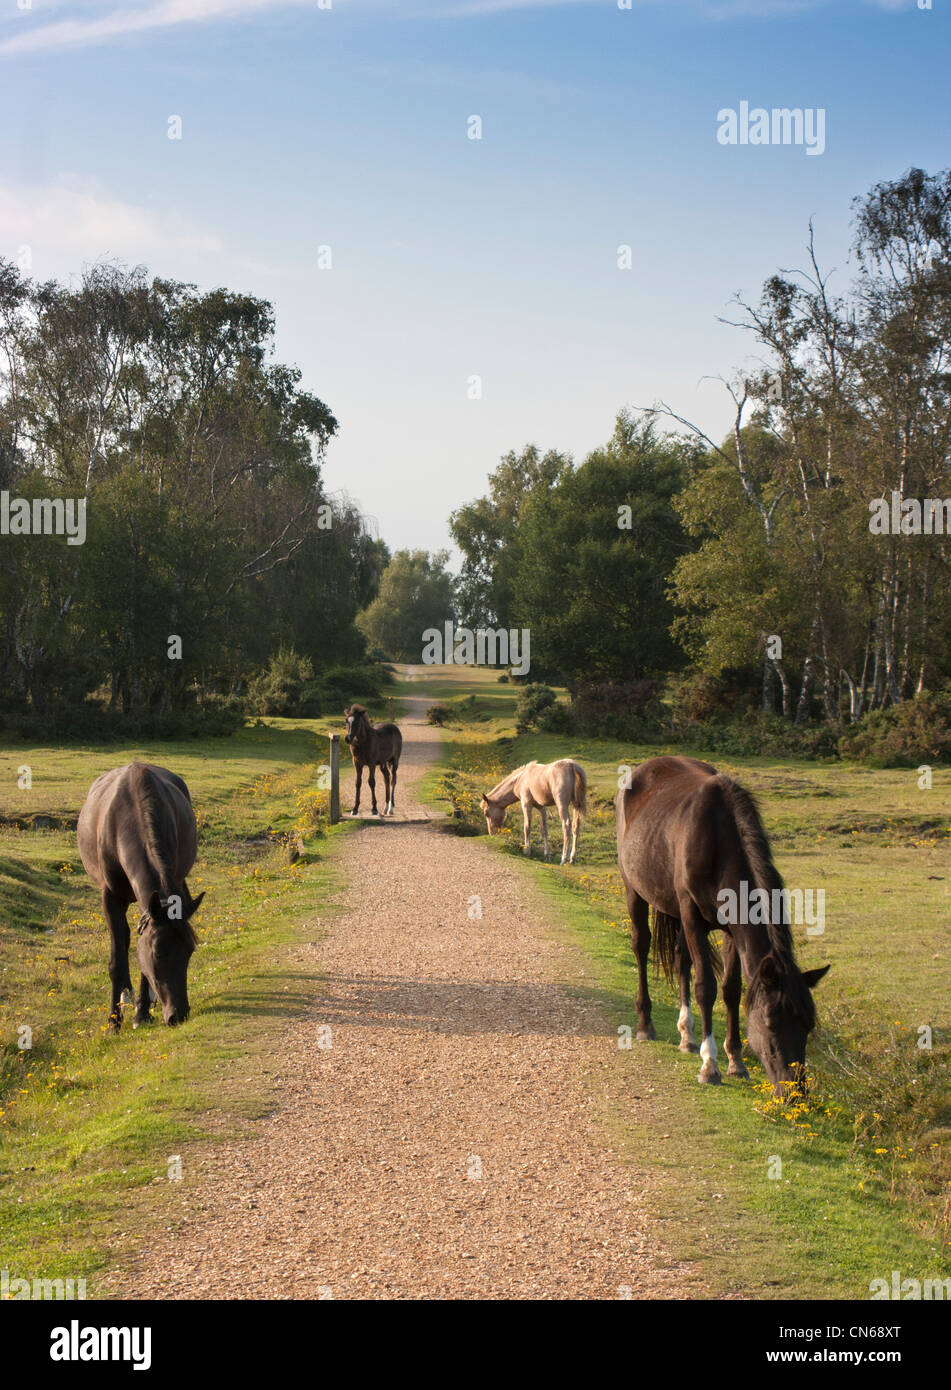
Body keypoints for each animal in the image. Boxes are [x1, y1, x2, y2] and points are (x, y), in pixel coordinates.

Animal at [77, 761, 205, 1030]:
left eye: (189, 951)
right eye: (158, 953)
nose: (179, 1014)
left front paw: (141, 1012)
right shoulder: (110, 897)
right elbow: (118, 959)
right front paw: (114, 1020)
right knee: (122, 940)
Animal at [616, 755, 828, 1099]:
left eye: (808, 1025)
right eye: (771, 1023)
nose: (794, 1091)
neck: (719, 843)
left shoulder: (732, 929)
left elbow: (730, 989)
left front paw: (735, 1061)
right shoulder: (692, 917)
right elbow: (707, 987)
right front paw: (710, 1065)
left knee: (681, 959)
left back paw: (687, 1036)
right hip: (634, 890)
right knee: (641, 946)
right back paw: (646, 1023)